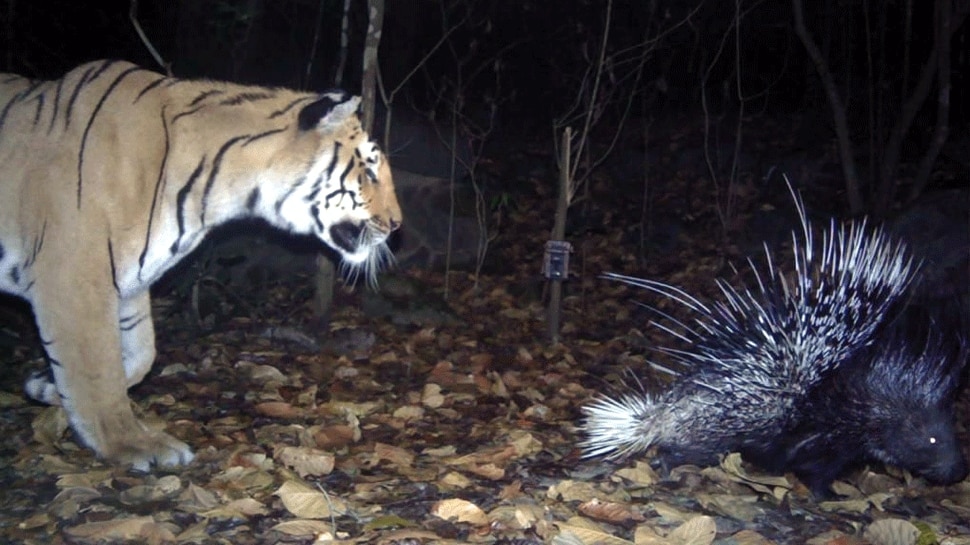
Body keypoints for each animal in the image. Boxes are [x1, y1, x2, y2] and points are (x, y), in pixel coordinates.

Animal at [0, 58, 400, 468]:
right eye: (369, 171)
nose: (397, 224)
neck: (215, 194)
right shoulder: (75, 278)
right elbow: (97, 370)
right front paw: (132, 444)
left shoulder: (128, 282)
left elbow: (140, 354)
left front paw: (47, 386)